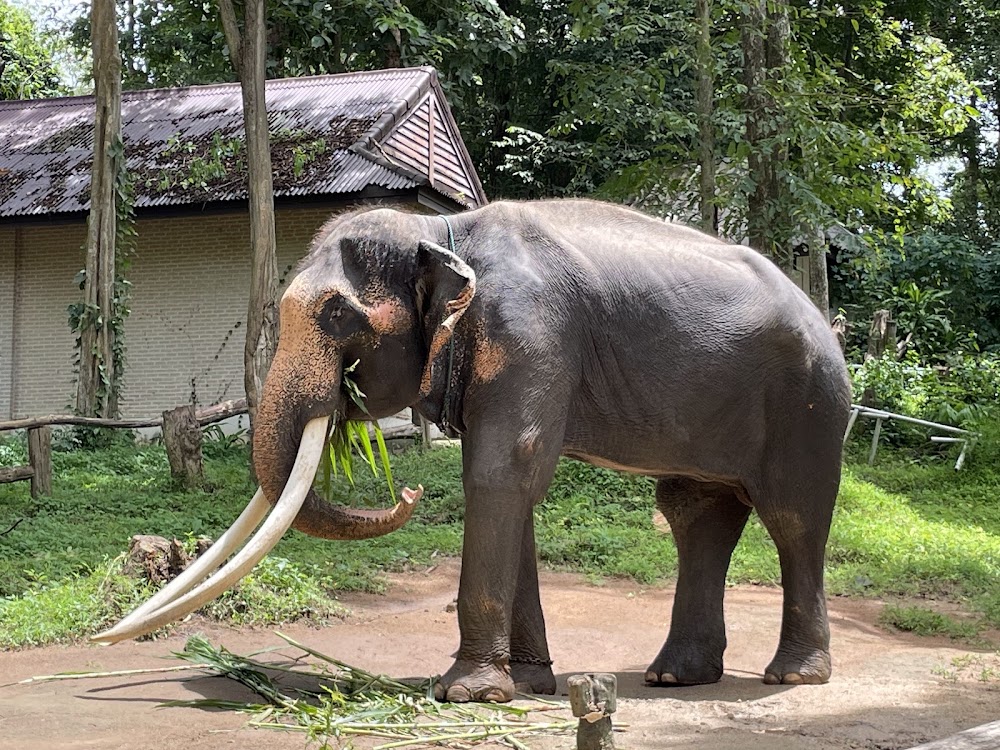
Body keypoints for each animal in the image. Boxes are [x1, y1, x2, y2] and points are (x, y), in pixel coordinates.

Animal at [94, 198, 848, 704]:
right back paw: (674, 676)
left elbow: (501, 472)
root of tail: (823, 316)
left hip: (808, 407)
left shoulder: (531, 333)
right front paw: (532, 685)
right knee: (695, 513)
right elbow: (510, 488)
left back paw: (792, 675)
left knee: (792, 518)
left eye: (338, 316)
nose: (405, 491)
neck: (440, 232)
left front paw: (465, 693)